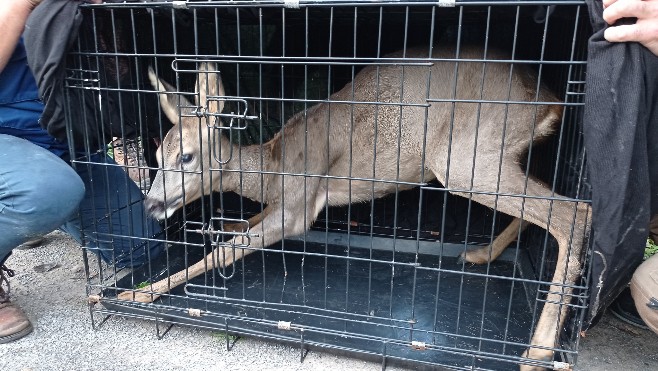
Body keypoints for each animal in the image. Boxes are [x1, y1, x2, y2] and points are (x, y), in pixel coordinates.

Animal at [118, 45, 588, 370]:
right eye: (155, 155)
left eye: (187, 157)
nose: (152, 204)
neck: (273, 166)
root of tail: (550, 101)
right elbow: (244, 223)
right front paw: (220, 225)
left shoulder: (299, 206)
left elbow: (226, 253)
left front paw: (138, 293)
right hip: (498, 154)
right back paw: (481, 253)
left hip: (464, 155)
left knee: (575, 211)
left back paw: (537, 352)